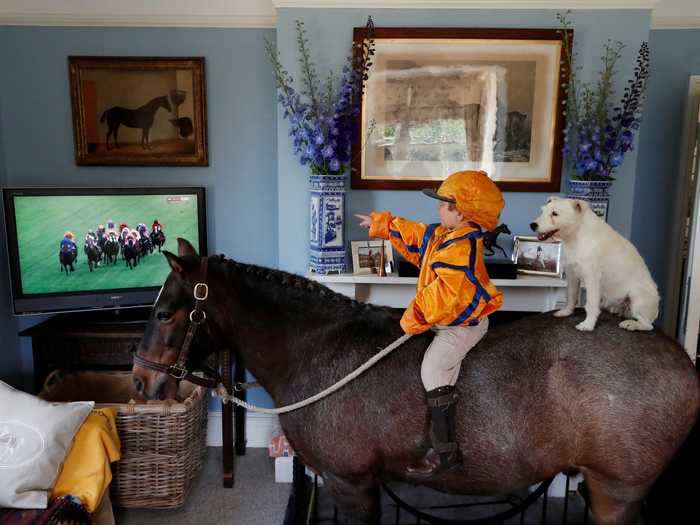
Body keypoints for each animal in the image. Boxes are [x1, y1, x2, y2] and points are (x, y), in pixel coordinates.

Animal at [133, 238, 700, 524]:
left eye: (163, 312)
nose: (140, 379)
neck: (317, 346)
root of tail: (677, 356)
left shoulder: (349, 483)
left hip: (616, 491)